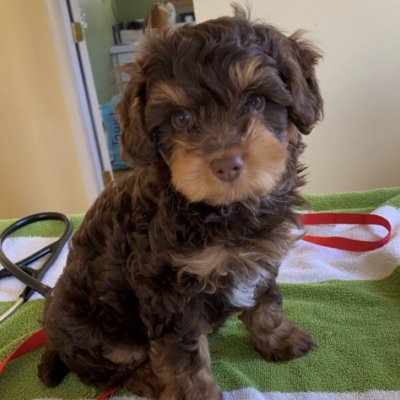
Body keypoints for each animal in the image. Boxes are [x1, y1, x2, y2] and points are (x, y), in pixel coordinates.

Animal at [38, 7, 322, 400]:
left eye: (256, 101)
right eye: (181, 118)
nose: (227, 164)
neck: (222, 211)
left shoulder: (262, 255)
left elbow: (266, 301)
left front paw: (276, 337)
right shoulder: (167, 288)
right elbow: (183, 353)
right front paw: (195, 393)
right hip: (100, 331)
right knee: (106, 370)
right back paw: (145, 378)